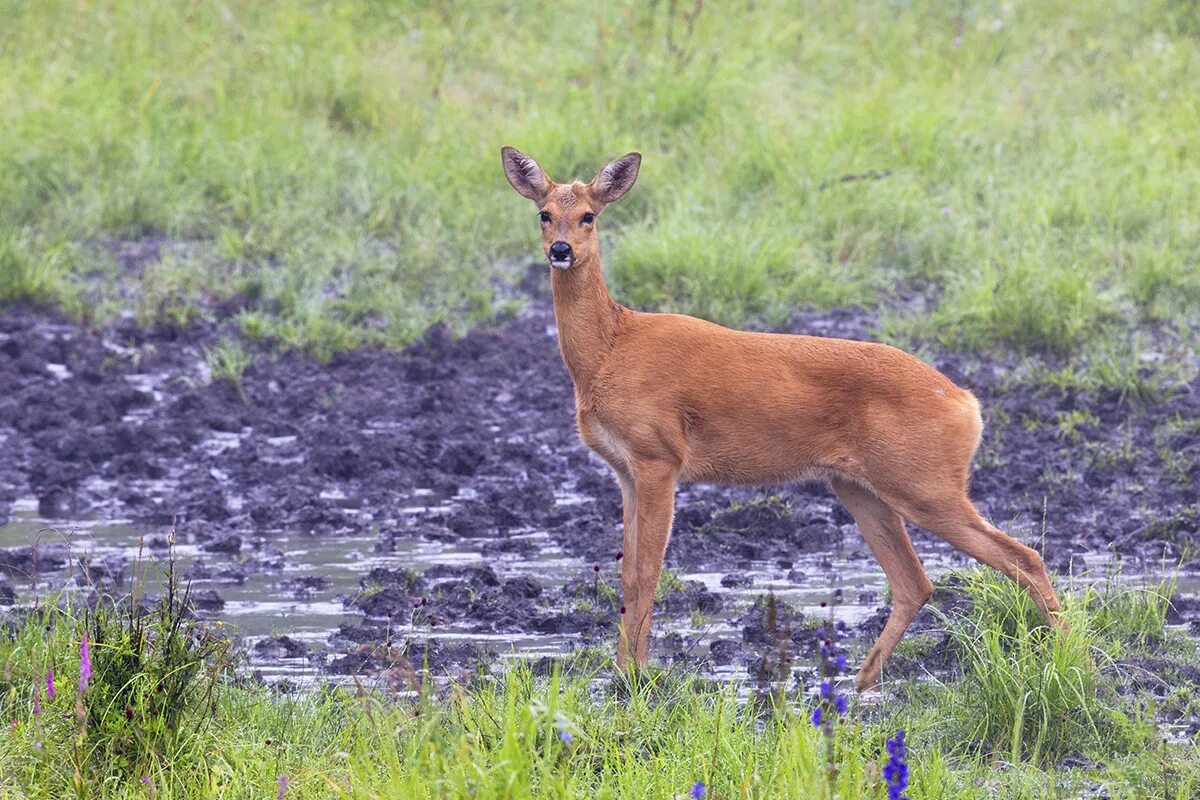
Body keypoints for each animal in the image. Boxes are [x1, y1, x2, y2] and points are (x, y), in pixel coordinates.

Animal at [501, 146, 1065, 690]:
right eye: (544, 213)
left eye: (589, 216)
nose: (560, 250)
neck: (610, 350)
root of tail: (967, 403)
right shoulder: (625, 471)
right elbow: (626, 574)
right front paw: (621, 672)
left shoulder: (658, 457)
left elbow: (646, 573)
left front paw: (636, 678)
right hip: (859, 487)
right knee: (916, 582)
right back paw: (858, 682)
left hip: (925, 483)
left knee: (1023, 558)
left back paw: (1064, 662)